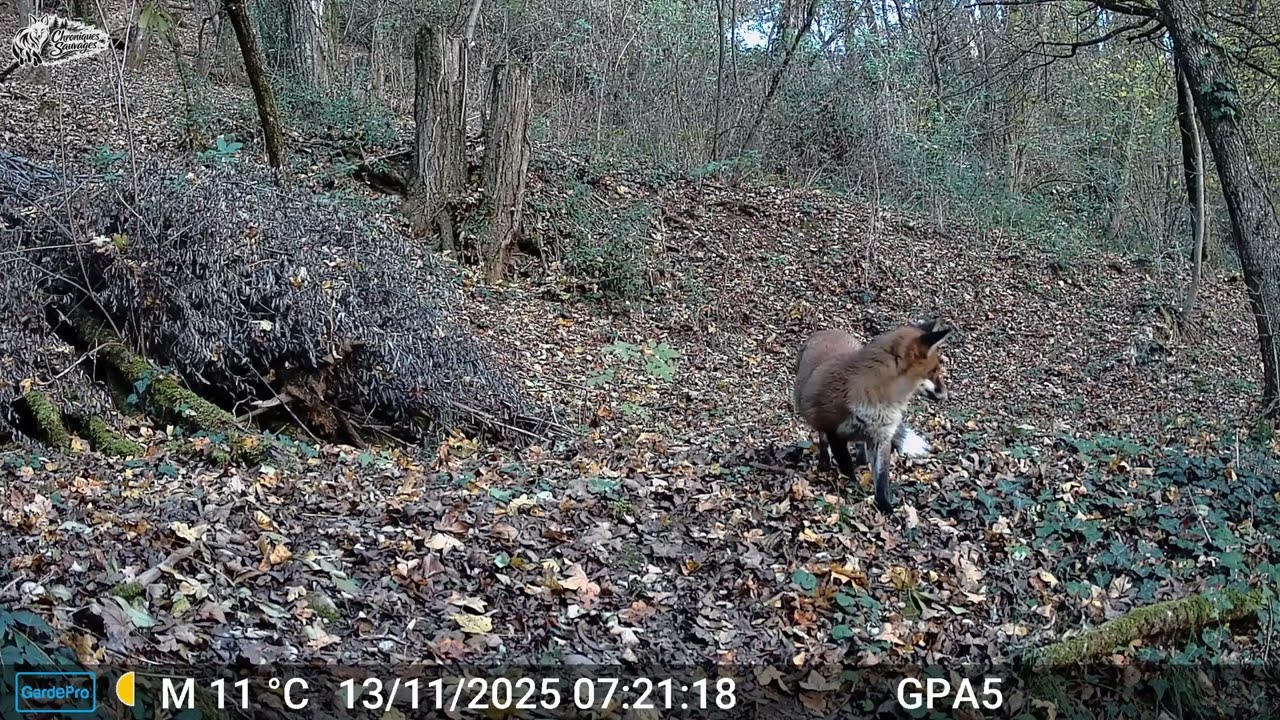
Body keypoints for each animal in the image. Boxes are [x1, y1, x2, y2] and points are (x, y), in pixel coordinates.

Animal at [792, 320, 955, 513]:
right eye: (934, 371)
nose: (946, 395)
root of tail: (826, 331)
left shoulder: (882, 436)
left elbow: (882, 479)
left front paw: (886, 507)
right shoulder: (834, 431)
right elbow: (847, 468)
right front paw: (854, 491)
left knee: (859, 444)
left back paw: (861, 459)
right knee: (822, 438)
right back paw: (825, 461)